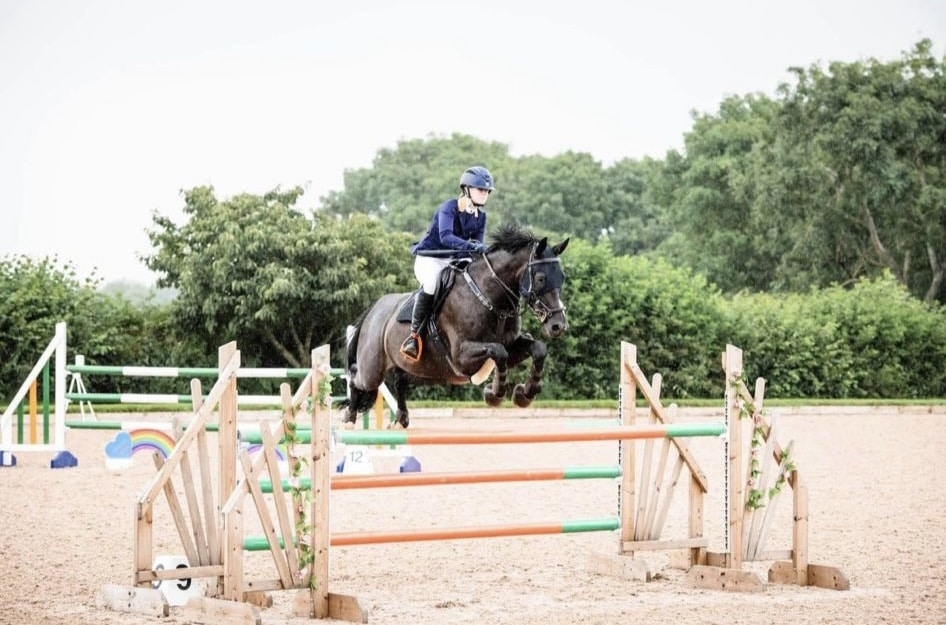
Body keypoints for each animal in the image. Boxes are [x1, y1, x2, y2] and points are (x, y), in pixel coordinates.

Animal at [341, 224, 569, 429]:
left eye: (562, 277)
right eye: (540, 278)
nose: (558, 326)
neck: (488, 298)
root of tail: (374, 309)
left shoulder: (512, 346)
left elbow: (537, 349)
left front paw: (524, 394)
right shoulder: (462, 356)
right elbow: (499, 352)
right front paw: (494, 394)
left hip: (422, 370)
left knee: (400, 382)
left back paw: (401, 419)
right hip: (373, 370)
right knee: (356, 377)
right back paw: (349, 418)